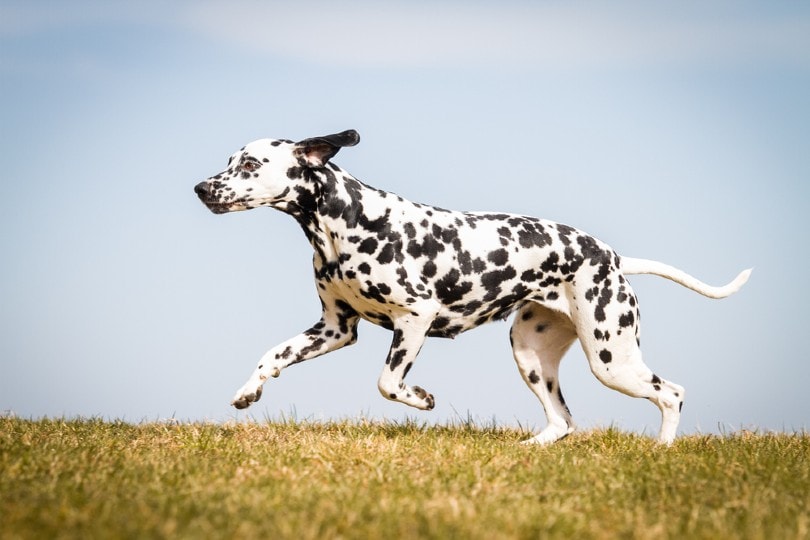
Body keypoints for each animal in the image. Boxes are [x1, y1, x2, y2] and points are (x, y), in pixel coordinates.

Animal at [193, 129, 748, 446]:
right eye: (231, 160)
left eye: (250, 165)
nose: (200, 188)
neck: (347, 220)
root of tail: (610, 256)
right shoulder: (335, 328)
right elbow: (272, 354)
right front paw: (248, 391)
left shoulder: (413, 319)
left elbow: (388, 383)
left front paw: (421, 398)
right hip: (531, 355)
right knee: (563, 422)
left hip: (612, 358)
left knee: (671, 394)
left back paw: (663, 450)